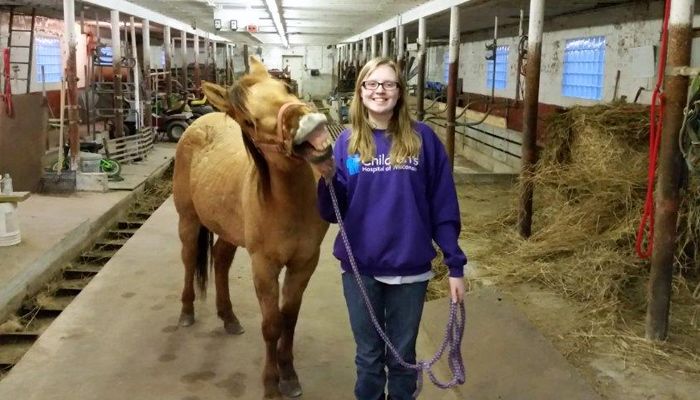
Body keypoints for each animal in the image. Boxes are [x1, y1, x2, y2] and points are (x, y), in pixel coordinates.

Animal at [172, 57, 330, 398]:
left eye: (285, 86)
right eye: (248, 121)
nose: (308, 124)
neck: (288, 205)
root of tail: (201, 121)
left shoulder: (304, 262)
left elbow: (289, 318)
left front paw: (289, 375)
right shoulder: (264, 266)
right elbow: (271, 325)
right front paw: (272, 385)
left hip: (229, 231)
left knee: (220, 260)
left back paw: (229, 318)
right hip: (188, 221)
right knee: (190, 260)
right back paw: (187, 313)